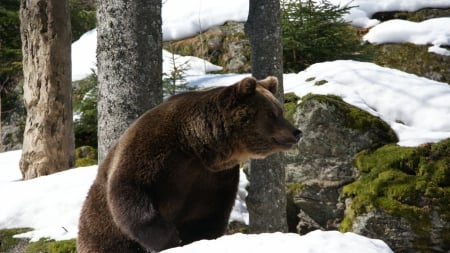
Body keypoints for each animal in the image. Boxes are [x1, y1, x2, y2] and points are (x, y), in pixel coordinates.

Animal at [77, 76, 302, 253]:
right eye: (273, 113)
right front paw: (170, 238)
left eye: (280, 110)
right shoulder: (153, 151)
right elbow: (129, 191)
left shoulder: (212, 177)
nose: (297, 132)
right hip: (99, 228)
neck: (196, 145)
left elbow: (207, 214)